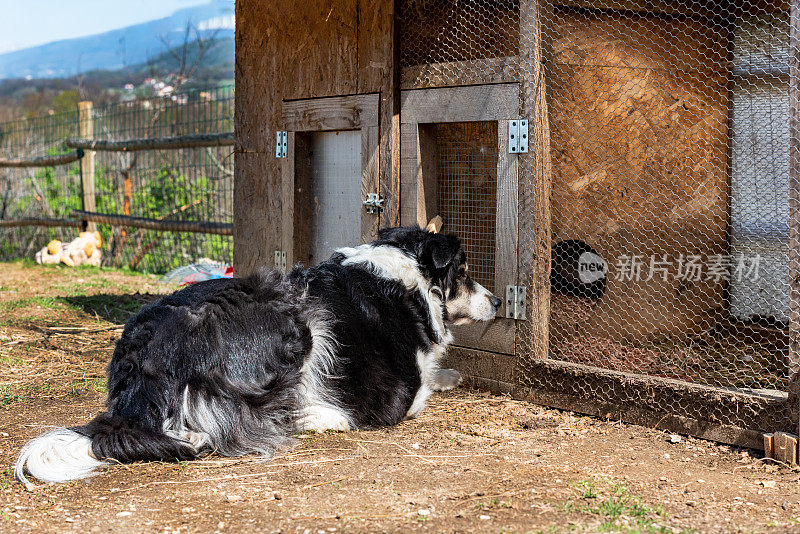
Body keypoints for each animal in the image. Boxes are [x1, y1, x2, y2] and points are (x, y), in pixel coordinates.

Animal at [14, 226, 500, 490]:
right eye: (464, 271)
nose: (498, 302)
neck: (406, 279)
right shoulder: (400, 395)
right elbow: (423, 390)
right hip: (298, 326)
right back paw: (318, 417)